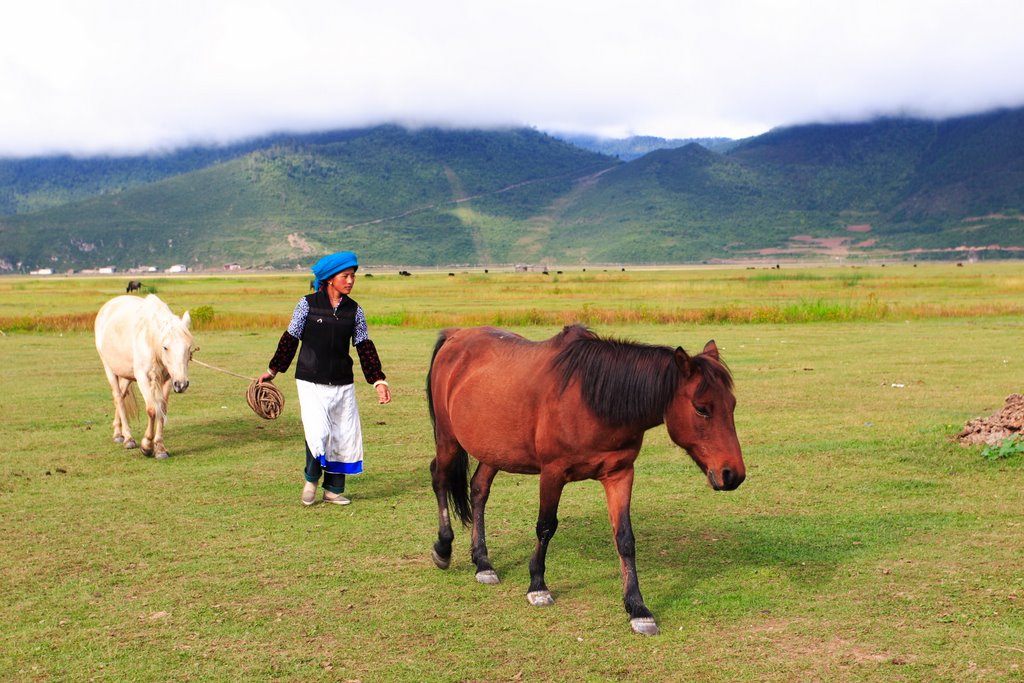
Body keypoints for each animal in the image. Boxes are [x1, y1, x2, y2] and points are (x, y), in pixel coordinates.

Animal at [95, 294, 193, 458]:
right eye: (165, 347)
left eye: (189, 347)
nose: (181, 384)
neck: (150, 341)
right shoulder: (142, 378)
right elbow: (152, 409)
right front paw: (147, 446)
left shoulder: (167, 380)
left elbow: (162, 409)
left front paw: (160, 448)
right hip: (109, 368)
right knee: (118, 398)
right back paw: (128, 438)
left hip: (126, 375)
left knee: (122, 395)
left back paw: (118, 433)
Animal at [423, 325, 745, 634]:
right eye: (701, 408)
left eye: (732, 404)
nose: (733, 474)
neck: (590, 401)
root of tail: (456, 336)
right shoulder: (552, 473)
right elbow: (545, 527)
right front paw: (538, 586)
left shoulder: (620, 474)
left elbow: (624, 538)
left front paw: (637, 608)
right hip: (448, 439)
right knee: (439, 478)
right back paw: (443, 548)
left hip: (494, 450)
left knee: (479, 490)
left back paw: (483, 563)